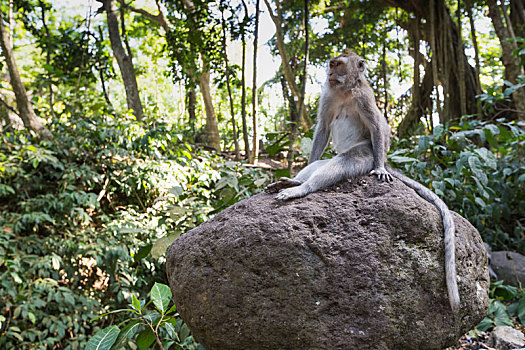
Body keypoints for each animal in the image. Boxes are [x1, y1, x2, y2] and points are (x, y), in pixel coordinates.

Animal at [266, 50, 458, 314]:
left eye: (338, 64)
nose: (330, 72)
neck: (345, 91)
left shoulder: (365, 98)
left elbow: (377, 125)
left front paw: (380, 169)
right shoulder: (327, 96)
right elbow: (322, 129)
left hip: (364, 155)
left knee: (340, 164)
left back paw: (303, 188)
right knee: (319, 165)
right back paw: (292, 182)